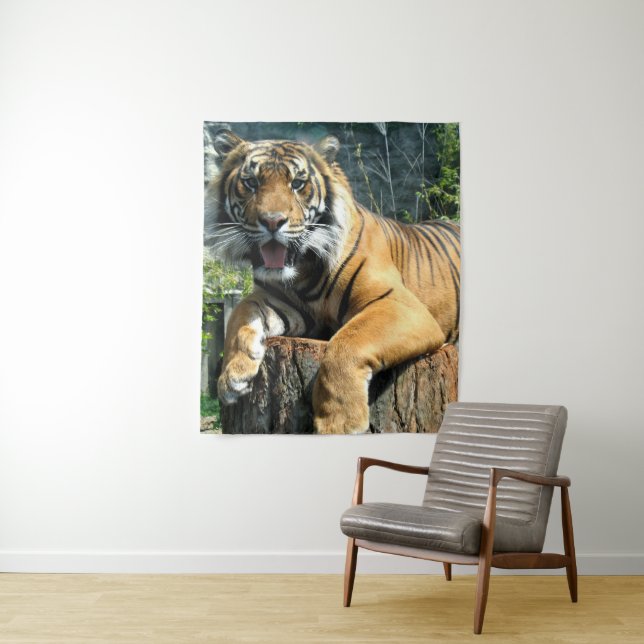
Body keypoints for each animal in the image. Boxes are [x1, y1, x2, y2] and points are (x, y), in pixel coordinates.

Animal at [204, 129, 460, 435]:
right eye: (251, 183)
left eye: (297, 183)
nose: (272, 221)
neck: (303, 271)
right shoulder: (281, 303)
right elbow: (239, 316)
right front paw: (232, 377)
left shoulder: (401, 305)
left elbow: (348, 342)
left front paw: (340, 422)